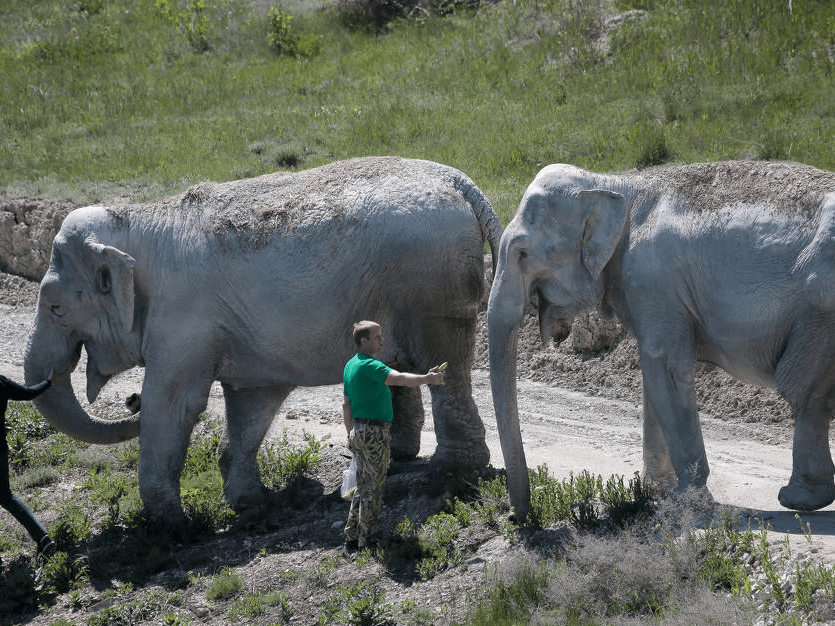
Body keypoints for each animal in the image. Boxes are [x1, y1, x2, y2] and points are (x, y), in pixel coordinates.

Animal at [24, 155, 502, 516]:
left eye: (55, 307)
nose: (128, 401)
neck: (135, 221)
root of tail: (459, 182)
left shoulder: (183, 317)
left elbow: (174, 404)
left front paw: (171, 525)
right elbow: (250, 400)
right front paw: (249, 504)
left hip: (431, 285)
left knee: (444, 363)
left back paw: (451, 472)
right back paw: (401, 456)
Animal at [486, 160, 835, 516]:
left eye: (522, 253)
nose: (520, 516)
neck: (615, 184)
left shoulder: (651, 279)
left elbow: (664, 363)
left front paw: (686, 501)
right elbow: (651, 373)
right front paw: (655, 492)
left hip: (818, 310)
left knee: (803, 391)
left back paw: (798, 499)